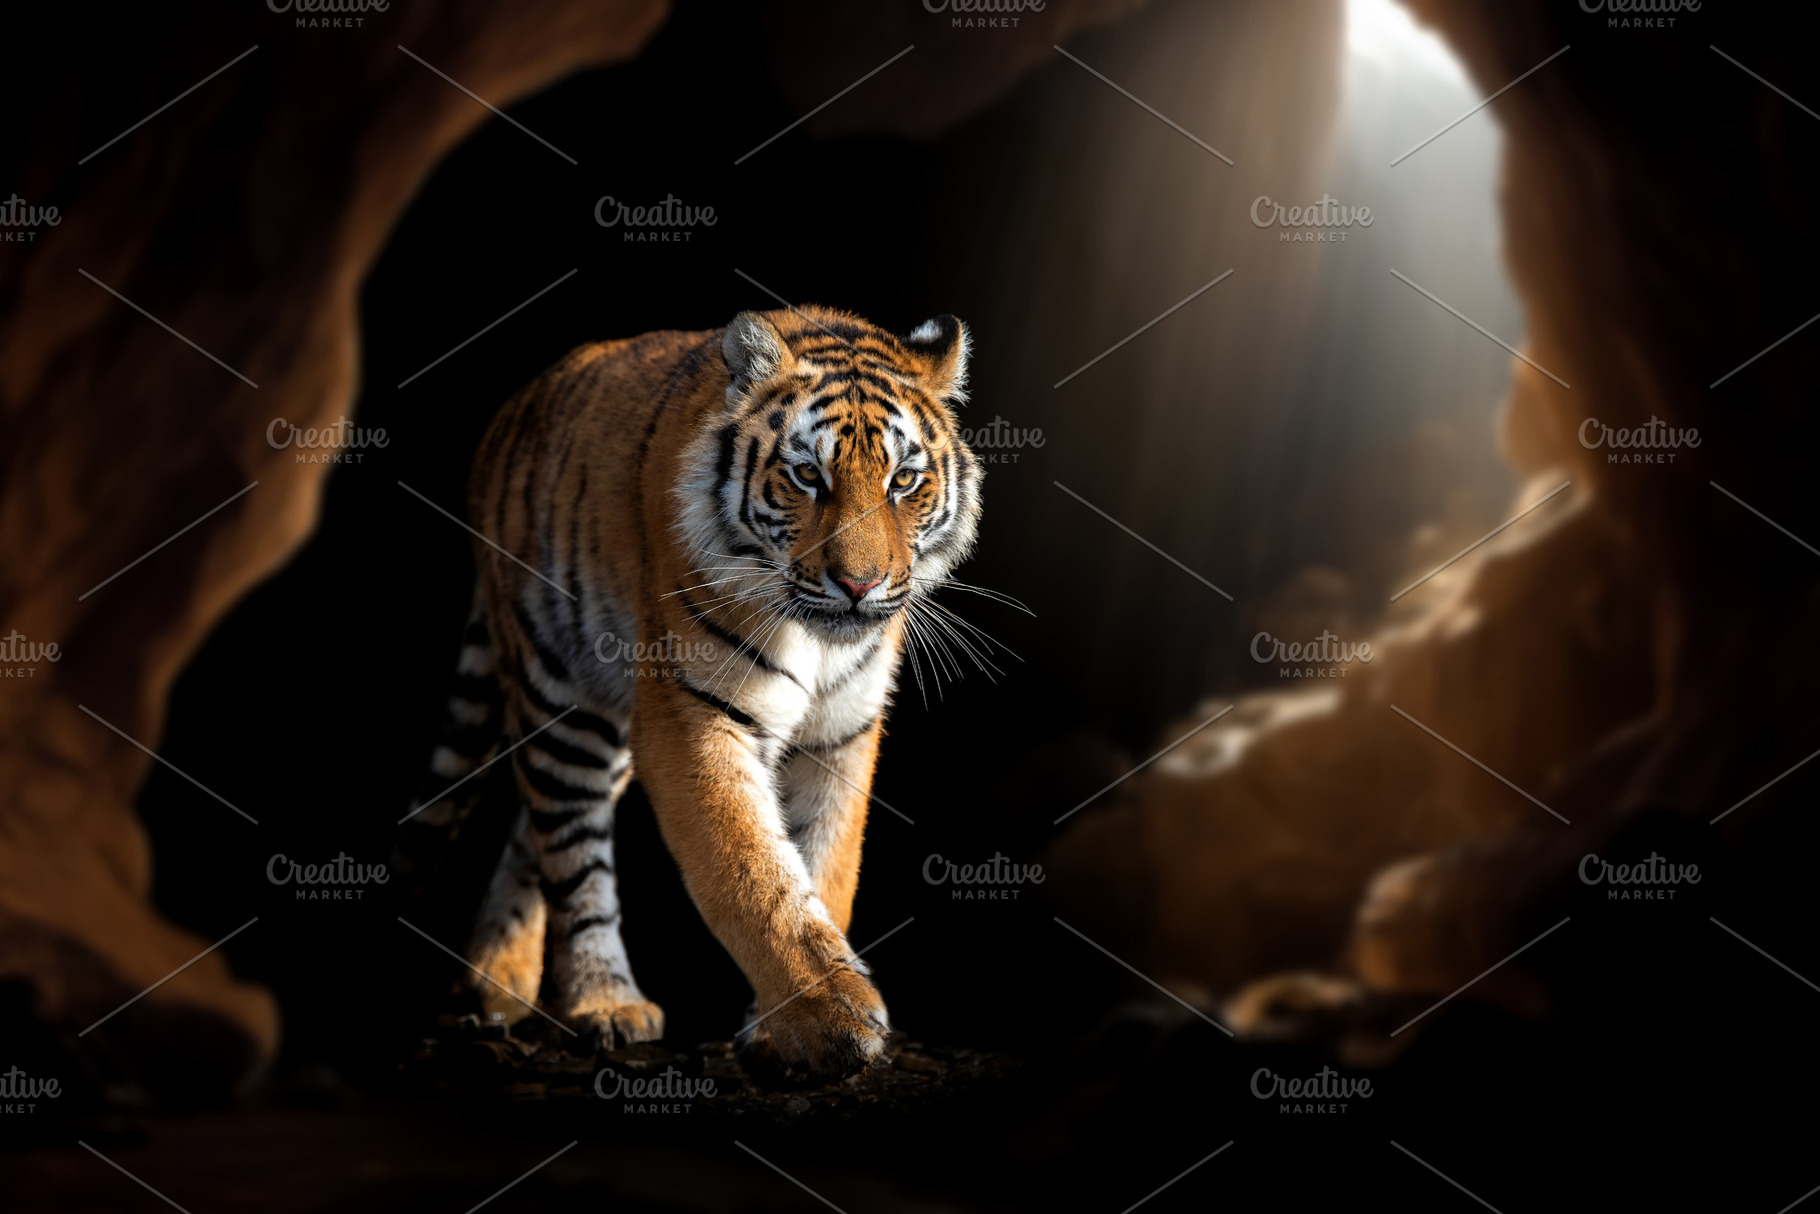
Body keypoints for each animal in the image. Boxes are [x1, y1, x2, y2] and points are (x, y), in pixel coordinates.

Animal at [400, 305, 981, 1080]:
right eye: (807, 475)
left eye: (904, 480)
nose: (859, 585)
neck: (817, 640)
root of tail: (514, 409)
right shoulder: (692, 713)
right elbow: (751, 871)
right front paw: (831, 1021)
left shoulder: (841, 734)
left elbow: (826, 868)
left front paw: (780, 1028)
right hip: (561, 695)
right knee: (570, 850)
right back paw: (603, 1002)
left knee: (535, 835)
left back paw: (496, 983)